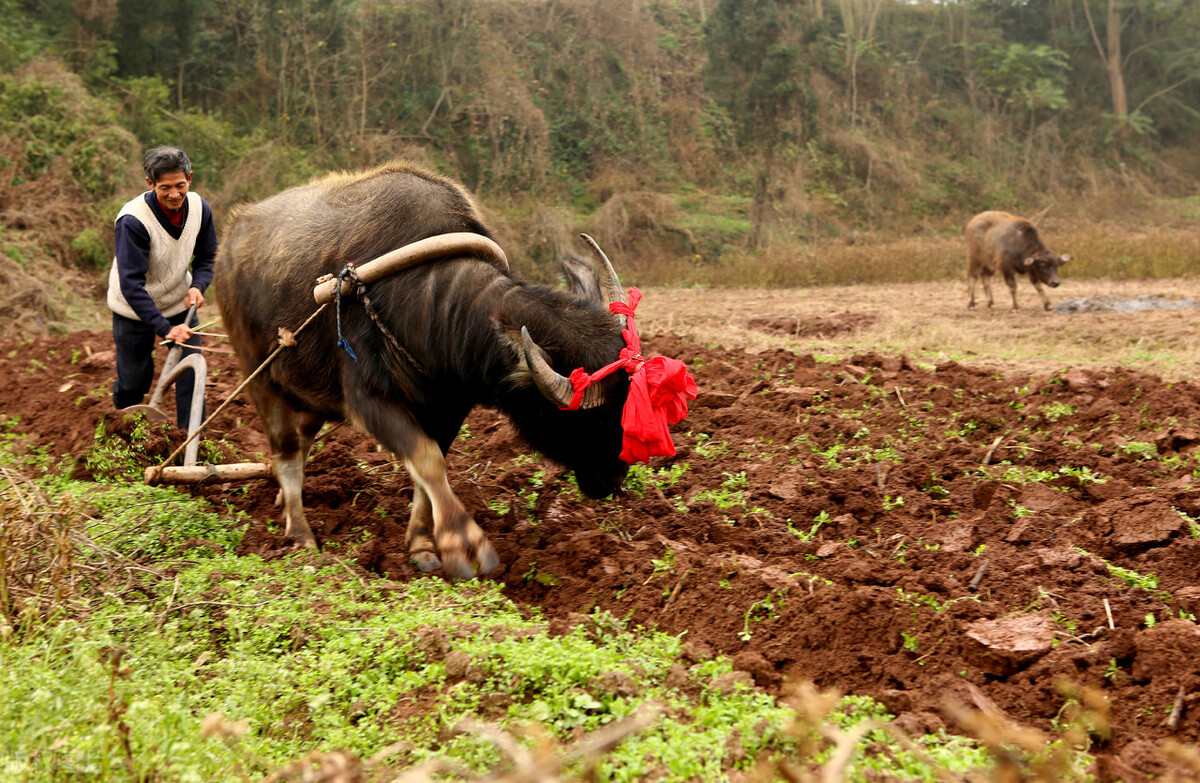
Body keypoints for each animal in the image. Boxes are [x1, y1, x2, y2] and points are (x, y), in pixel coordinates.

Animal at [213, 162, 638, 578]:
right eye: (592, 420)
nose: (616, 479)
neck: (431, 302)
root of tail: (229, 242)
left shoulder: (450, 407)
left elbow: (430, 470)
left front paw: (421, 544)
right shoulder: (367, 401)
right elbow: (427, 461)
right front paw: (462, 544)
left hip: (306, 392)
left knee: (300, 443)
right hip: (259, 377)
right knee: (286, 453)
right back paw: (300, 534)